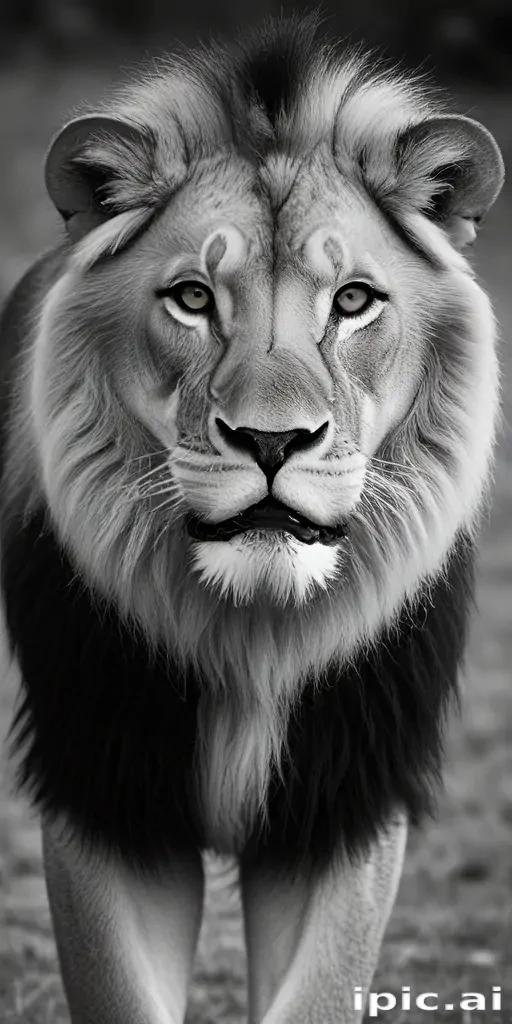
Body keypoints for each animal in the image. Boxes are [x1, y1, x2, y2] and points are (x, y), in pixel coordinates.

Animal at [0, 15, 504, 1024]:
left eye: (352, 300)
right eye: (193, 297)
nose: (273, 442)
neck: (255, 631)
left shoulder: (344, 799)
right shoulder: (104, 788)